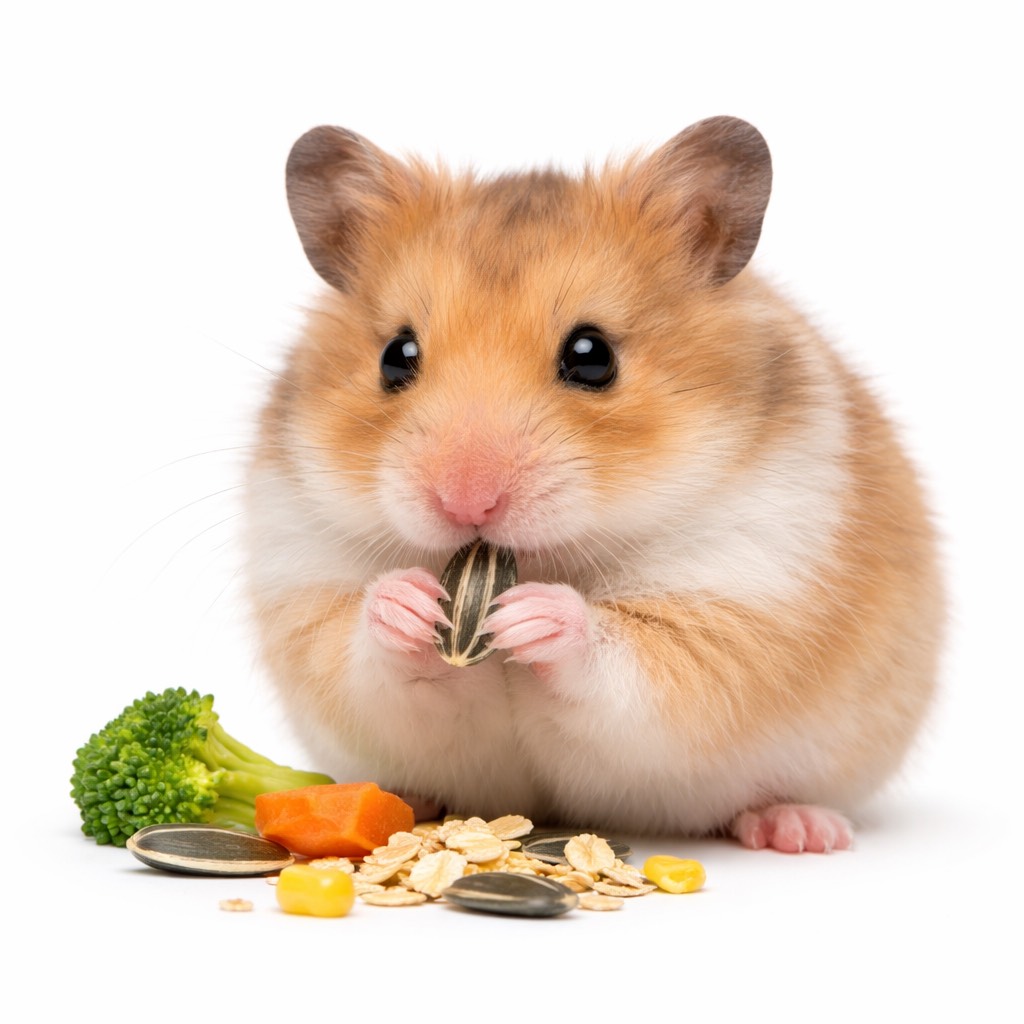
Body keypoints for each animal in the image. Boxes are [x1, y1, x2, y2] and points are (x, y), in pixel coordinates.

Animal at [243, 116, 944, 852]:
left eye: (592, 355)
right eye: (395, 355)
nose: (467, 502)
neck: (538, 559)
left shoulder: (745, 596)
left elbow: (624, 660)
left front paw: (531, 615)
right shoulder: (304, 589)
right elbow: (369, 657)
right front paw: (410, 603)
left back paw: (801, 830)